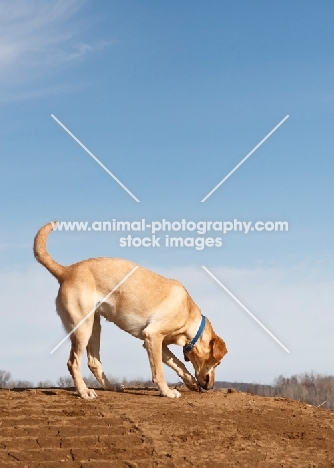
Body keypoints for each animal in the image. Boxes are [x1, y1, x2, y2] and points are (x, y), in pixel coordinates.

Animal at [34, 222, 227, 398]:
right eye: (217, 363)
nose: (210, 387)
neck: (189, 317)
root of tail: (66, 271)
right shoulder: (153, 337)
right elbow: (159, 372)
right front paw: (166, 392)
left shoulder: (158, 344)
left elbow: (179, 364)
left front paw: (190, 382)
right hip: (82, 328)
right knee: (73, 362)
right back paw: (84, 392)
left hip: (94, 327)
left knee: (93, 362)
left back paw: (110, 386)